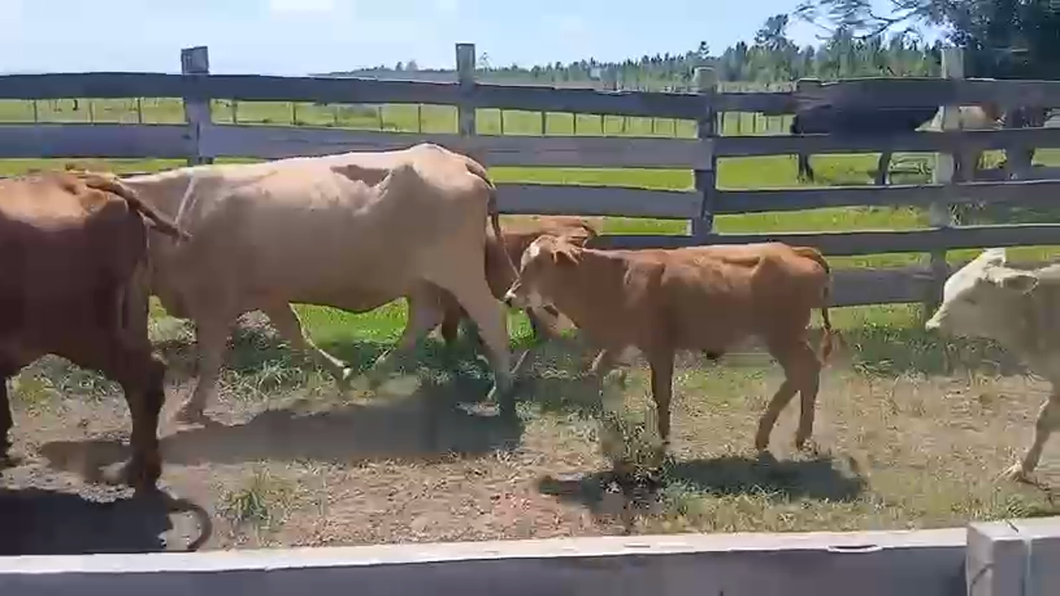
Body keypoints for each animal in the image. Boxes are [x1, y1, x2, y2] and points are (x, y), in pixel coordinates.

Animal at [120, 143, 521, 424]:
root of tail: (453, 159)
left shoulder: (213, 301)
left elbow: (209, 358)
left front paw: (192, 407)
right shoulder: (268, 293)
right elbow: (295, 333)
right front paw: (340, 373)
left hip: (458, 271)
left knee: (489, 317)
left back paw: (502, 392)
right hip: (422, 279)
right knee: (424, 318)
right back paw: (375, 375)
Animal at [502, 238, 835, 455]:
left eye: (539, 265)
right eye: (523, 263)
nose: (508, 298)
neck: (616, 279)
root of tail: (793, 250)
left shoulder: (659, 348)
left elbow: (661, 393)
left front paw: (662, 439)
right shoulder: (620, 341)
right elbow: (595, 372)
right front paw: (603, 421)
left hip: (782, 335)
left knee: (805, 371)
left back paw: (772, 435)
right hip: (785, 337)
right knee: (806, 373)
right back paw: (791, 436)